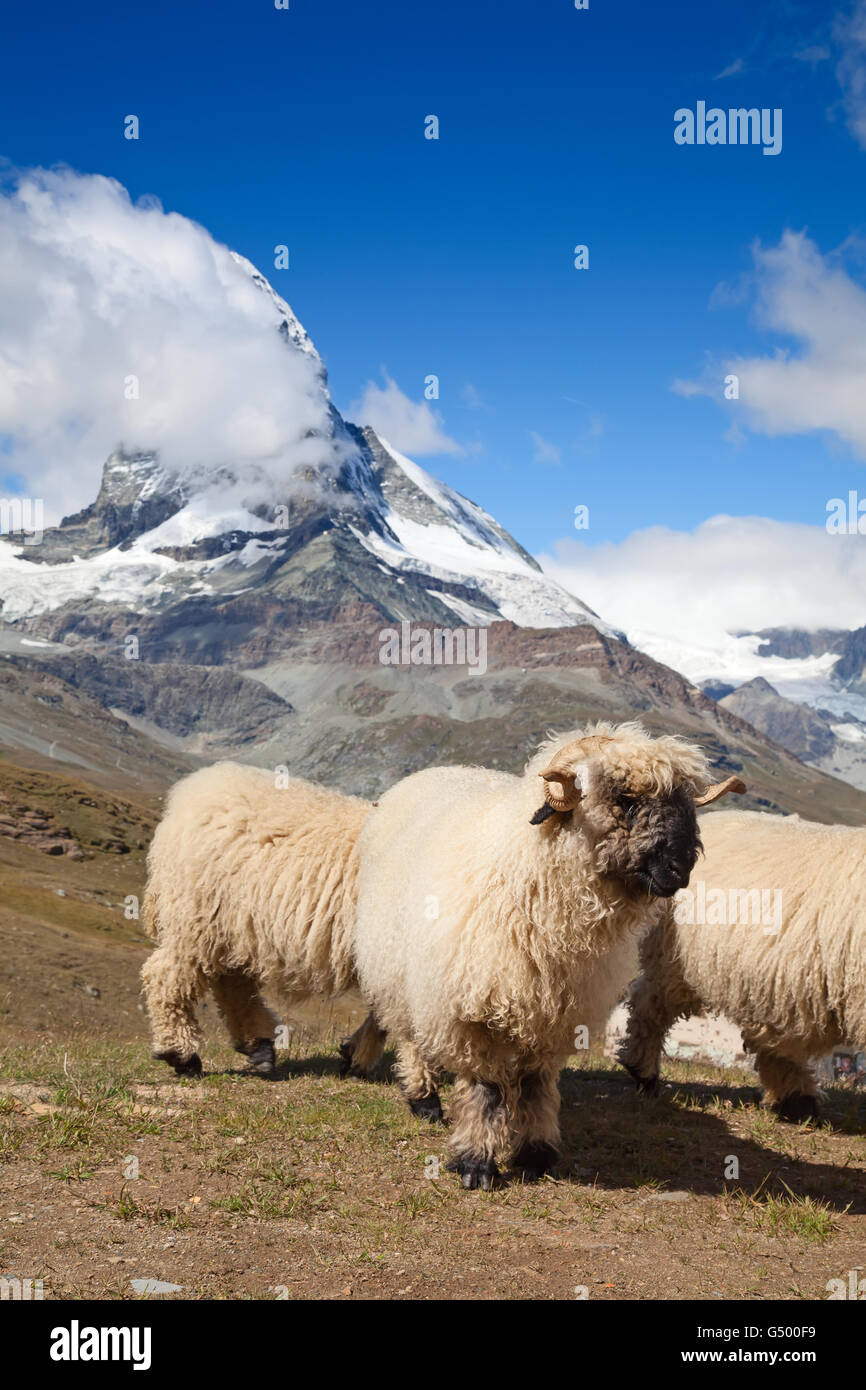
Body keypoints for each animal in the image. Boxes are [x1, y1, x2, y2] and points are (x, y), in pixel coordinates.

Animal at [353, 722, 745, 1189]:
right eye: (625, 799)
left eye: (687, 803)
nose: (680, 868)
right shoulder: (472, 1013)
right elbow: (486, 1089)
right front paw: (476, 1162)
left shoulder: (555, 1013)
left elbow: (535, 1085)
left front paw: (535, 1153)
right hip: (400, 972)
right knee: (412, 1037)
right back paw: (424, 1099)